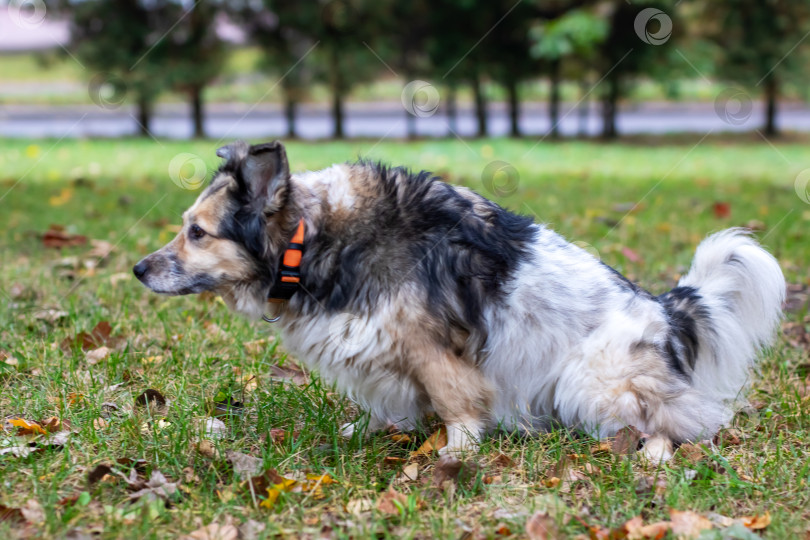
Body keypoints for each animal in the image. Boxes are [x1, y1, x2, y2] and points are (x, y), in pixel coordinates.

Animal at [134, 140, 784, 460]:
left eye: (197, 233)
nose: (139, 268)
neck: (314, 237)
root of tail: (666, 311)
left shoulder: (432, 351)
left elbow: (456, 407)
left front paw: (453, 455)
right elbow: (387, 405)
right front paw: (369, 430)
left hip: (591, 380)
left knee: (685, 420)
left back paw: (652, 453)